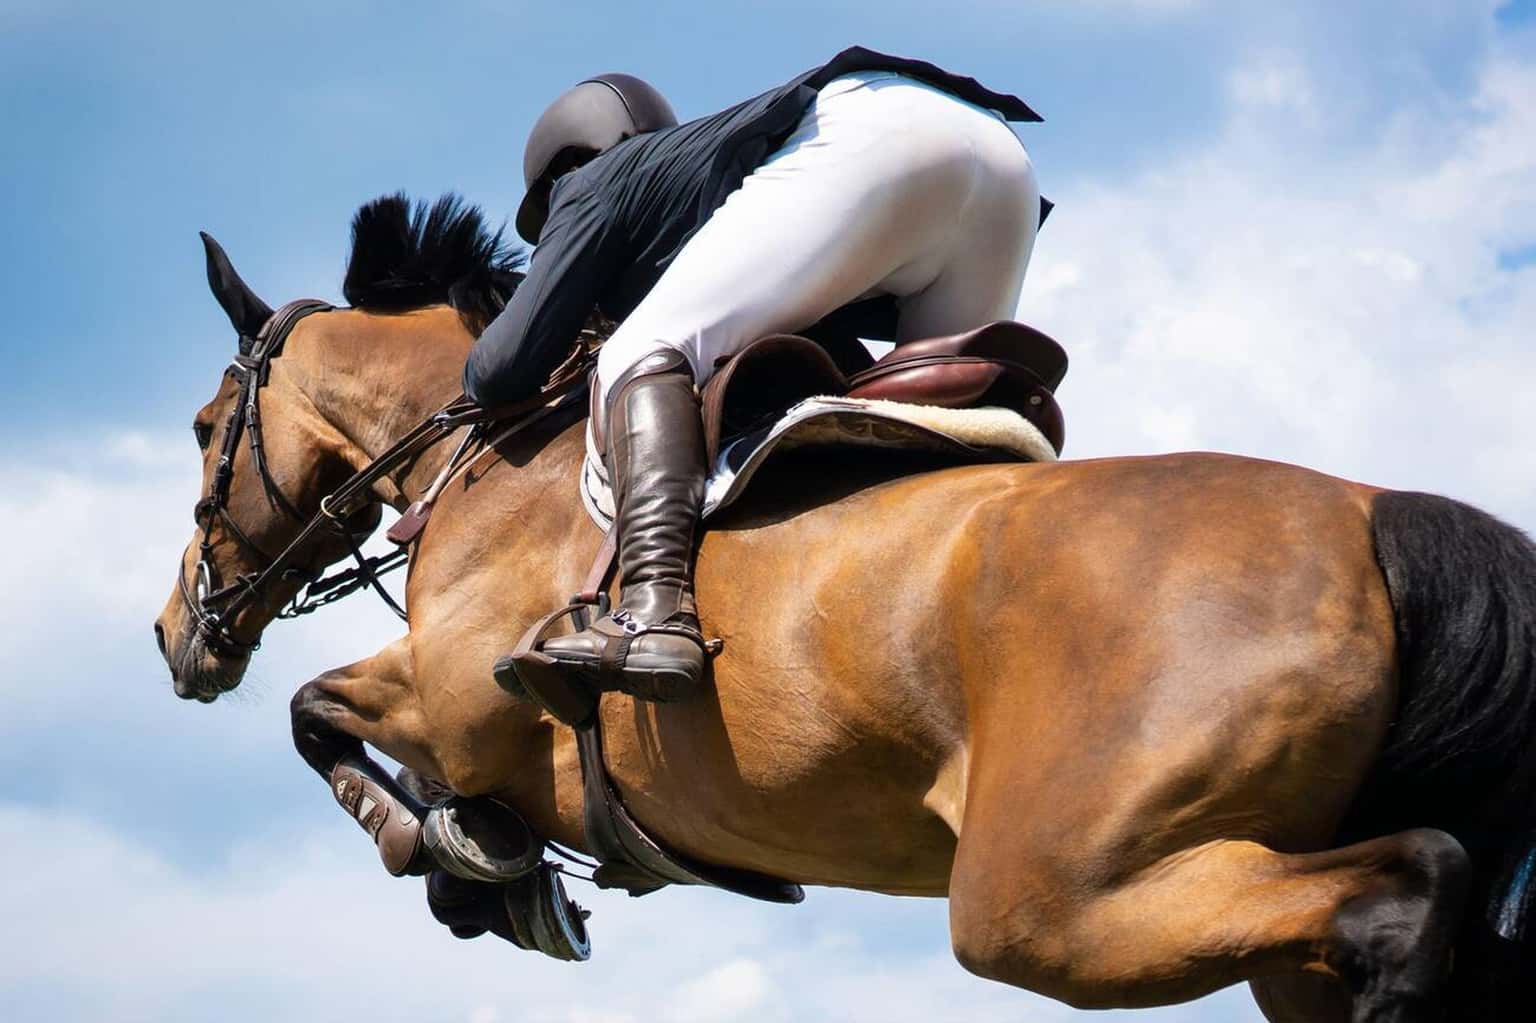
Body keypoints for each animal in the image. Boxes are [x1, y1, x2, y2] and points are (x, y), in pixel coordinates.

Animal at [154, 194, 1536, 1021]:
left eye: (208, 429)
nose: (177, 637)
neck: (500, 453)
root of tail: (1374, 515)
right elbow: (329, 720)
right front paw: (481, 865)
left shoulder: (454, 702)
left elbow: (317, 712)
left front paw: (461, 861)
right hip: (1239, 929)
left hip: (1054, 900)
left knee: (1410, 886)